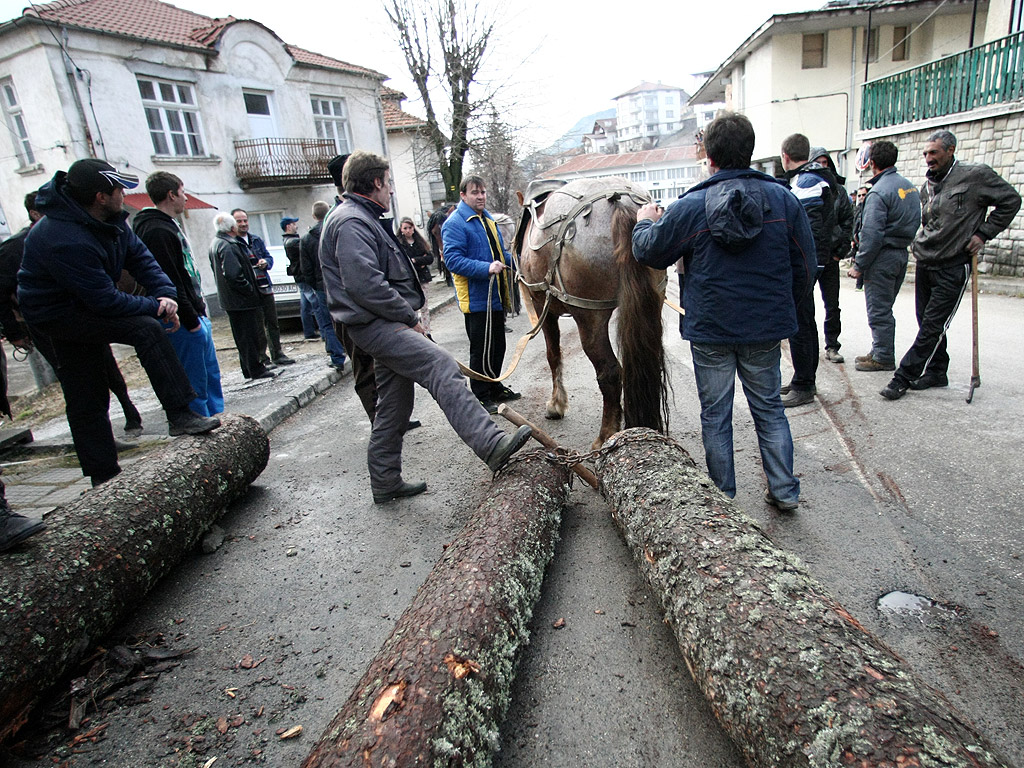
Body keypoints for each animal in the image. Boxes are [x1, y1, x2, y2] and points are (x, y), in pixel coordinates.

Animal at [512, 176, 671, 450]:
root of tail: (619, 203)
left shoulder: (543, 307)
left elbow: (553, 355)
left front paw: (556, 405)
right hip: (653, 300)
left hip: (589, 317)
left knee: (610, 372)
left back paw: (605, 436)